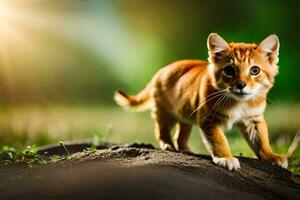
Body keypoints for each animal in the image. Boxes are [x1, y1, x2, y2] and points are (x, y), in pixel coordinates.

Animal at [113, 32, 288, 170]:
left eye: (255, 70)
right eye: (229, 70)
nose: (241, 85)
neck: (239, 102)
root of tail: (160, 71)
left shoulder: (253, 118)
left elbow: (261, 139)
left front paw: (272, 156)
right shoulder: (209, 118)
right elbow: (219, 140)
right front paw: (226, 158)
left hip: (185, 114)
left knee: (180, 134)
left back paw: (185, 149)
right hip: (165, 112)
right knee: (160, 129)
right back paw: (168, 145)